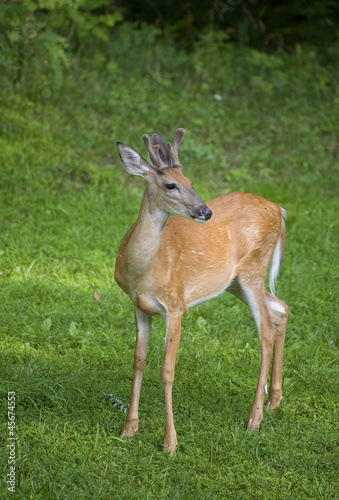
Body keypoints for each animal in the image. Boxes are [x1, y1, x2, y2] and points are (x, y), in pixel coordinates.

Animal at [115, 128, 290, 454]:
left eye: (191, 182)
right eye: (171, 185)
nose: (205, 211)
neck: (143, 274)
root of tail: (280, 210)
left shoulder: (175, 303)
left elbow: (167, 370)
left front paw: (170, 442)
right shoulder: (139, 306)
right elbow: (138, 360)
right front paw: (128, 429)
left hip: (253, 270)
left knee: (266, 331)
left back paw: (254, 419)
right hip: (234, 282)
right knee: (281, 309)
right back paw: (274, 401)